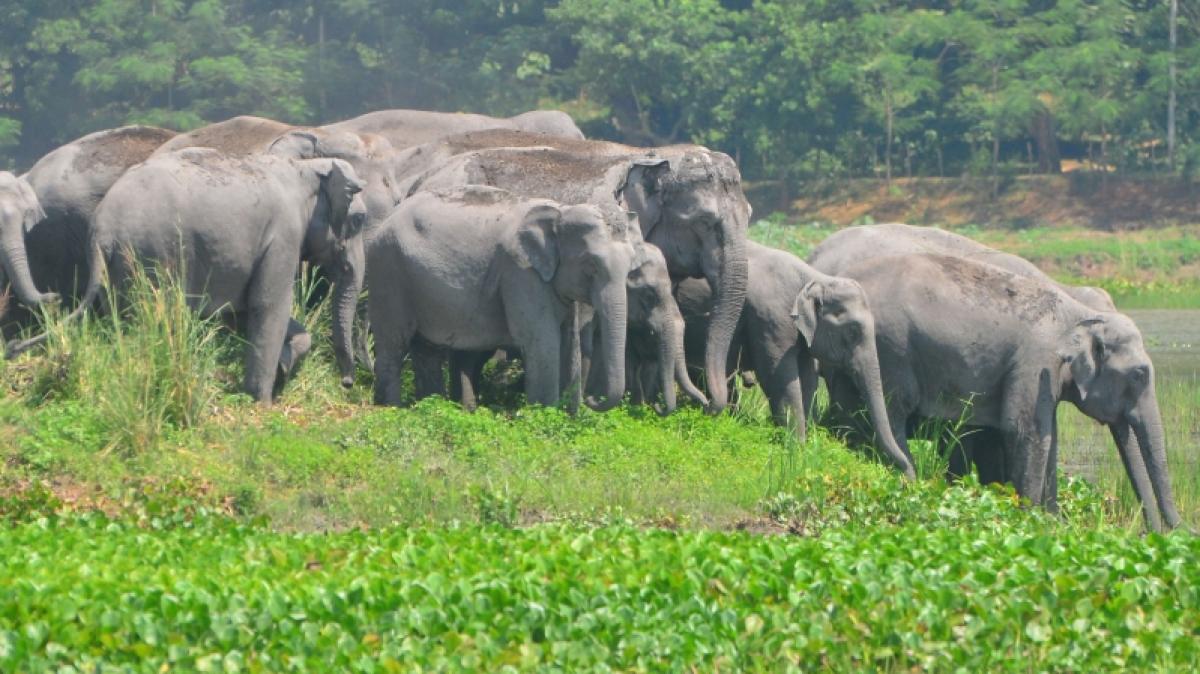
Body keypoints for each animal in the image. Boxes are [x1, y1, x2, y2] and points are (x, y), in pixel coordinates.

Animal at [10, 149, 367, 403]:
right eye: (360, 220)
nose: (348, 383)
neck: (306, 168)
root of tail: (102, 226)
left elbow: (239, 313)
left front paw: (283, 366)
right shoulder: (284, 235)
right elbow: (268, 306)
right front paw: (262, 401)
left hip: (119, 266)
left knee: (123, 320)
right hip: (153, 254)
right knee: (155, 318)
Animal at [366, 186, 640, 411]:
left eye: (630, 268)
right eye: (591, 266)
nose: (593, 399)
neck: (560, 210)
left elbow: (569, 340)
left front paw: (568, 418)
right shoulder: (519, 272)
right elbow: (542, 340)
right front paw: (545, 418)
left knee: (426, 350)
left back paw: (432, 408)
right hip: (388, 270)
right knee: (393, 344)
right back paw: (391, 409)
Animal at [402, 135, 751, 413]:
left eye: (749, 215)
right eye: (705, 222)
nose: (707, 404)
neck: (653, 156)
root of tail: (416, 183)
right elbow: (587, 326)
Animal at [817, 253, 1181, 532]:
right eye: (1139, 374)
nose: (1160, 532)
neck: (1081, 315)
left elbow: (1049, 438)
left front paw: (1053, 522)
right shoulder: (1036, 363)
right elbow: (1025, 432)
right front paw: (1031, 519)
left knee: (847, 415)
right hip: (891, 349)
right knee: (893, 413)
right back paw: (909, 479)